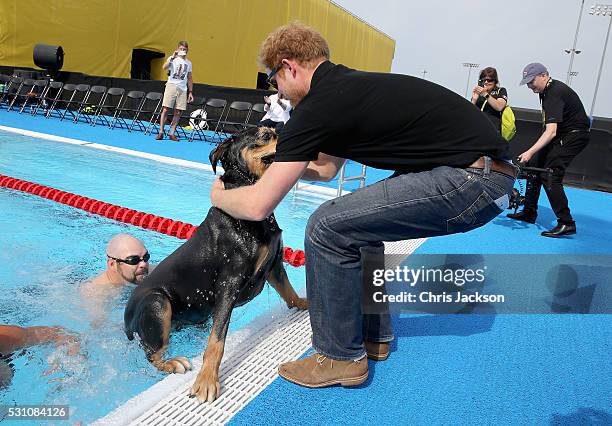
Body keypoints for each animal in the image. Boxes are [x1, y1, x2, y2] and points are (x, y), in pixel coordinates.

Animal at [124, 126, 308, 402]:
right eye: (266, 135)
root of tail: (125, 317)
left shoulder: (274, 264)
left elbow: (289, 291)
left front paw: (304, 304)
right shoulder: (228, 283)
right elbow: (217, 341)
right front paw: (207, 380)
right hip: (156, 303)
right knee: (152, 353)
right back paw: (172, 362)